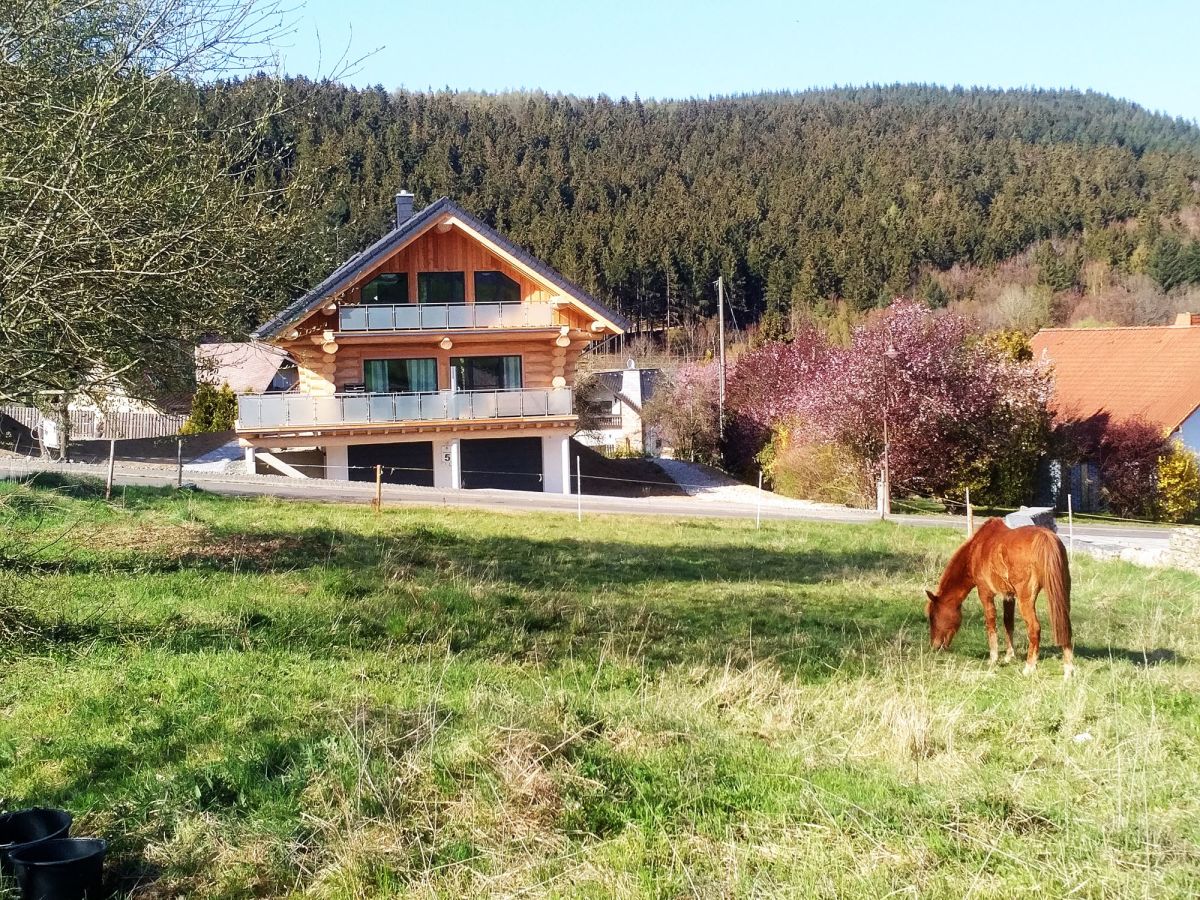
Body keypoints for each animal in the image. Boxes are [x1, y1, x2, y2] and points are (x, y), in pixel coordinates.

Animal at [921, 518, 1075, 681]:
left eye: (932, 616)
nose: (934, 646)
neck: (976, 549)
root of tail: (1046, 538)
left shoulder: (985, 593)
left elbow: (991, 622)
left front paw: (993, 658)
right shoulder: (1009, 596)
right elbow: (1008, 623)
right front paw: (1009, 656)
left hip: (1026, 599)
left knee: (1034, 628)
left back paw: (1029, 667)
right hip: (1062, 595)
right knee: (1065, 627)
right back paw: (1068, 670)